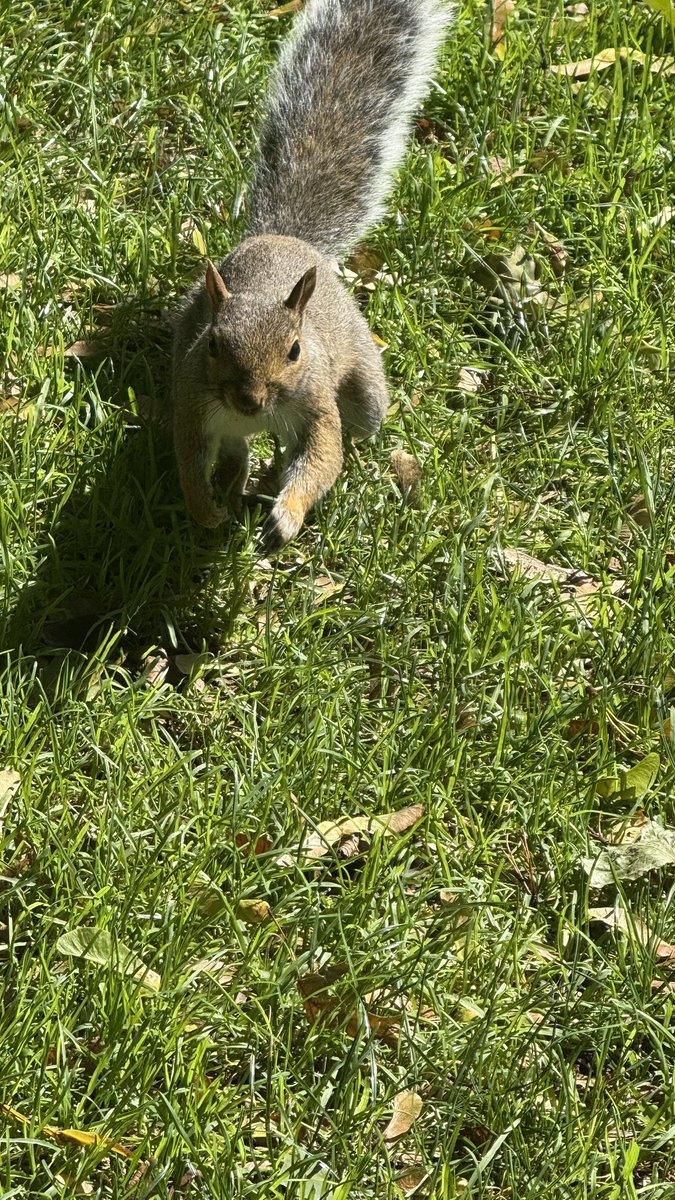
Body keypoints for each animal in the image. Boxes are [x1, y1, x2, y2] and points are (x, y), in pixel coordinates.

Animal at [171, 0, 451, 551]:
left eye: (296, 351)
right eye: (212, 343)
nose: (251, 400)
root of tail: (290, 240)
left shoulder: (317, 404)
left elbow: (322, 459)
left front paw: (287, 514)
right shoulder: (193, 402)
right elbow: (189, 462)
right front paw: (205, 511)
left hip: (363, 391)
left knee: (358, 426)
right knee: (235, 450)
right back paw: (234, 483)